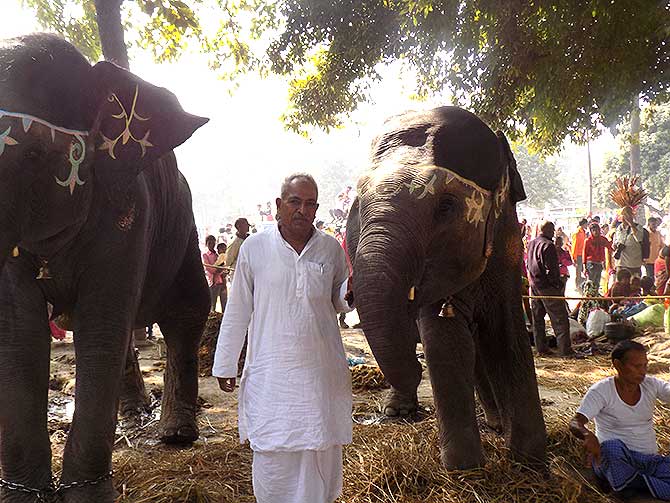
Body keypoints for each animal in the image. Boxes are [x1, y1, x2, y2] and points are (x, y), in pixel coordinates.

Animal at [0, 33, 210, 502]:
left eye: (35, 154)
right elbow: (20, 330)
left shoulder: (130, 207)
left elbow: (101, 318)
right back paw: (131, 418)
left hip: (184, 224)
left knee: (187, 311)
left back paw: (176, 434)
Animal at [350, 107, 548, 472]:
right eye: (359, 206)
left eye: (445, 206)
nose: (417, 369)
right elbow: (447, 341)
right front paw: (465, 469)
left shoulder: (509, 248)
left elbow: (507, 335)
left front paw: (530, 461)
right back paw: (399, 409)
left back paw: (494, 422)